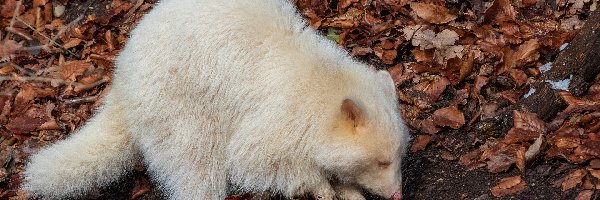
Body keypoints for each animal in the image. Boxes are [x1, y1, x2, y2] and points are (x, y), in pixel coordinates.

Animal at [21, 0, 410, 199]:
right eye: (380, 161)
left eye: (397, 157)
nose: (397, 195)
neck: (324, 83)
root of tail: (122, 78)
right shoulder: (277, 117)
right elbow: (256, 160)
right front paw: (322, 187)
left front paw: (346, 186)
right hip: (176, 105)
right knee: (196, 164)